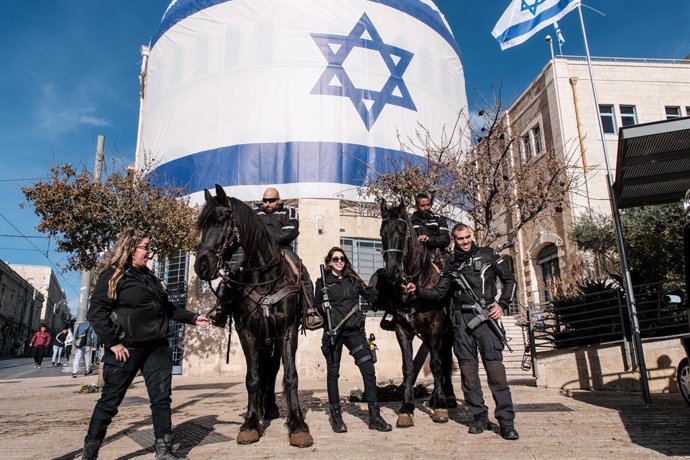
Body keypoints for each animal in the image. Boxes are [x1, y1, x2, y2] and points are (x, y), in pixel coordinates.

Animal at [194, 185, 312, 448]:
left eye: (220, 220)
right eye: (201, 225)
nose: (201, 266)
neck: (264, 277)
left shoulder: (287, 330)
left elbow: (290, 376)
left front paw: (298, 425)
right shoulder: (246, 332)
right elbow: (253, 378)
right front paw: (250, 424)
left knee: (273, 370)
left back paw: (270, 409)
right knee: (264, 371)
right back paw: (262, 410)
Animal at [370, 200, 456, 428]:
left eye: (402, 231)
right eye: (382, 231)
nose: (391, 271)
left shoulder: (435, 328)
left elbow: (435, 365)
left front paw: (440, 407)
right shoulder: (402, 330)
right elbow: (408, 367)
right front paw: (406, 408)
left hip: (446, 334)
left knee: (444, 360)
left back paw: (447, 397)